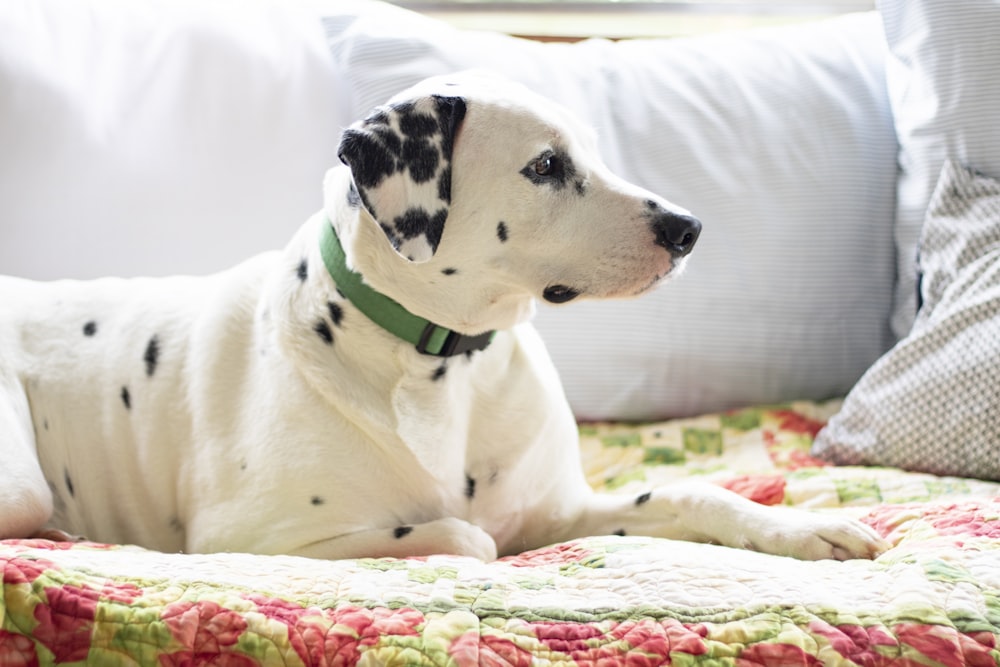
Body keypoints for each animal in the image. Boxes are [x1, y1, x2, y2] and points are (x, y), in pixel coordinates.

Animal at [0, 73, 892, 560]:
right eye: (545, 165)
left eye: (593, 150)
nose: (688, 228)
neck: (444, 364)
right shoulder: (246, 537)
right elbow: (467, 536)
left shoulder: (562, 511)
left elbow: (698, 495)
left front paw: (806, 528)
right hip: (22, 484)